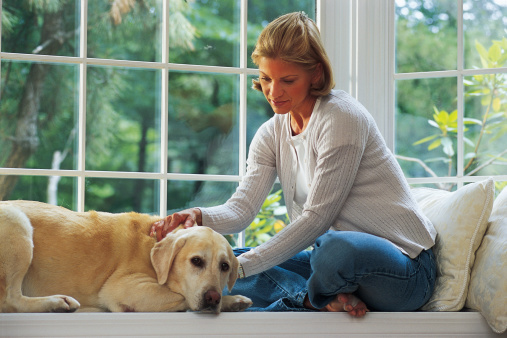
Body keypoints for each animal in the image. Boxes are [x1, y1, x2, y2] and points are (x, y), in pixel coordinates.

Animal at [0, 201, 253, 314]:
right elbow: (181, 297)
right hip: (17, 222)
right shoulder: (124, 288)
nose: (212, 298)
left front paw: (231, 300)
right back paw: (56, 302)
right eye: (196, 261)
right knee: (11, 300)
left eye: (224, 266)